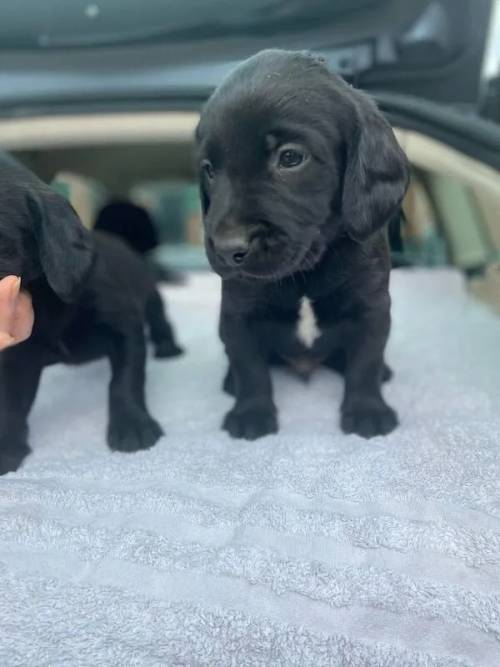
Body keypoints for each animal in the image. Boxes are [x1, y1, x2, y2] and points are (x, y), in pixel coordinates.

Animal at [0, 155, 184, 474]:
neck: (47, 301)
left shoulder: (125, 329)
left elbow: (124, 382)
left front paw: (132, 426)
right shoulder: (18, 358)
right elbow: (11, 402)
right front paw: (7, 448)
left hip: (151, 296)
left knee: (161, 321)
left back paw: (168, 347)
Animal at [196, 49, 410, 440]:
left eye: (290, 158)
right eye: (209, 170)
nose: (226, 248)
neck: (308, 270)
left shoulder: (372, 307)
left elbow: (366, 361)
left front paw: (366, 409)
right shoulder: (238, 313)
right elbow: (249, 365)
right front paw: (251, 412)